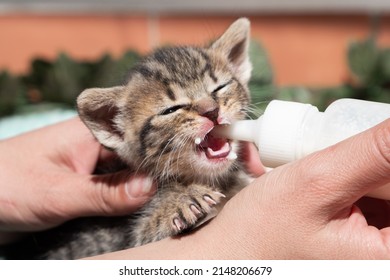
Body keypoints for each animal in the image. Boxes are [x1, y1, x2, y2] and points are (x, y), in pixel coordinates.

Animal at [10, 17, 254, 258]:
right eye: (171, 110)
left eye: (220, 87)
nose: (211, 111)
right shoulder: (130, 241)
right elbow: (147, 232)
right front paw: (177, 202)